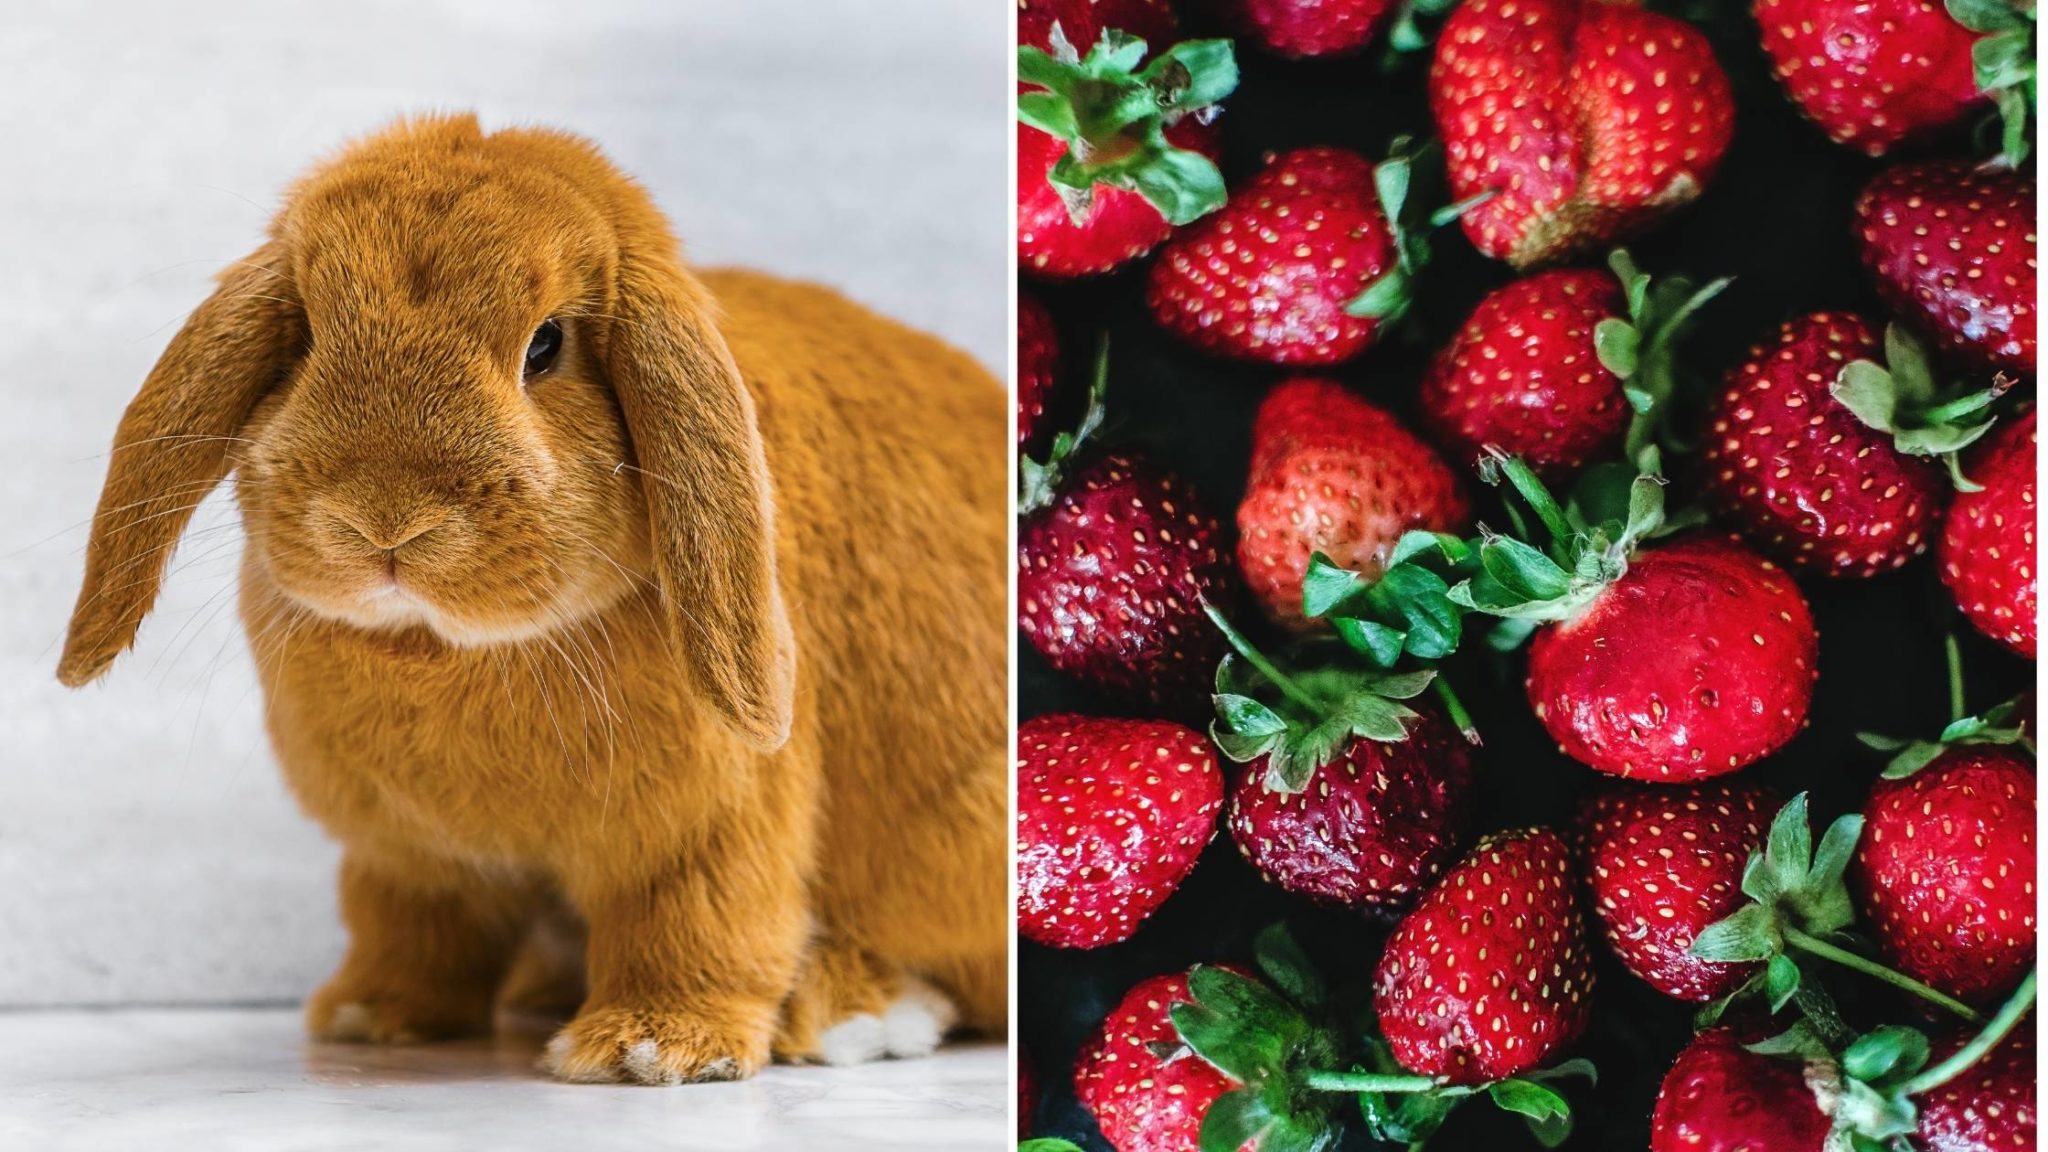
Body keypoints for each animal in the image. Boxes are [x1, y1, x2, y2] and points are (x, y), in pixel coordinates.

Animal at [57, 114, 1007, 1084]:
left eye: (546, 345)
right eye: (310, 334)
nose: (384, 520)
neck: (440, 649)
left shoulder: (713, 826)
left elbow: (701, 920)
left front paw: (654, 1048)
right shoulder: (408, 859)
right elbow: (408, 929)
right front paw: (373, 1015)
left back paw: (858, 1011)